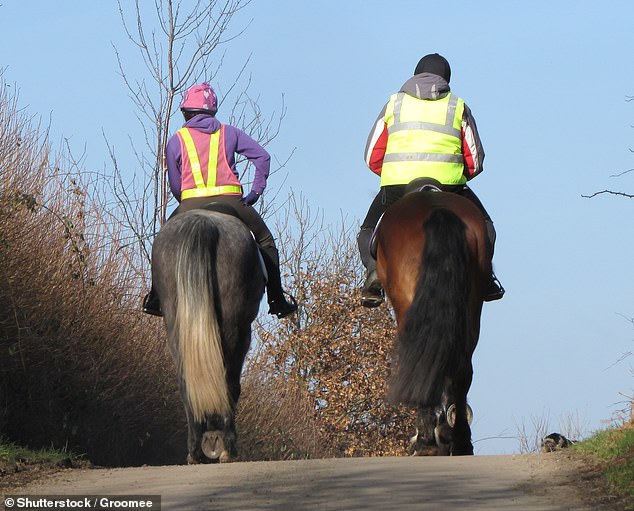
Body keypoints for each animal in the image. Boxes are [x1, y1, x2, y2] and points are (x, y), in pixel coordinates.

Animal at [151, 208, 264, 464]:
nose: (212, 440)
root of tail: (202, 222)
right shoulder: (245, 334)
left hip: (175, 324)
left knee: (186, 382)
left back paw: (195, 449)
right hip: (233, 327)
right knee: (227, 381)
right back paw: (227, 447)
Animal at [372, 184, 486, 456]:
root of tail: (438, 209)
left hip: (406, 303)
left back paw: (425, 440)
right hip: (472, 303)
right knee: (461, 368)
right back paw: (460, 441)